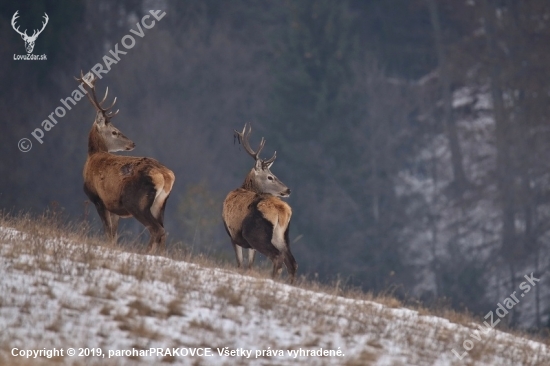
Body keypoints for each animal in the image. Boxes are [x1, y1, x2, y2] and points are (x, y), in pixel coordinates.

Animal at [77, 72, 176, 253]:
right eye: (115, 132)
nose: (132, 143)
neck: (92, 159)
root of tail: (165, 175)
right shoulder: (114, 206)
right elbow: (114, 234)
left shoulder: (97, 197)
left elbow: (108, 232)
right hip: (160, 204)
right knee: (163, 231)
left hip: (137, 202)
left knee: (157, 229)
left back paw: (145, 252)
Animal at [222, 123, 298, 284]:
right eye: (270, 177)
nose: (288, 190)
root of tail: (282, 211)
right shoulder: (250, 245)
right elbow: (250, 265)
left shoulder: (233, 235)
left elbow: (240, 264)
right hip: (281, 236)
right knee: (292, 263)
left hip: (255, 233)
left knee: (277, 257)